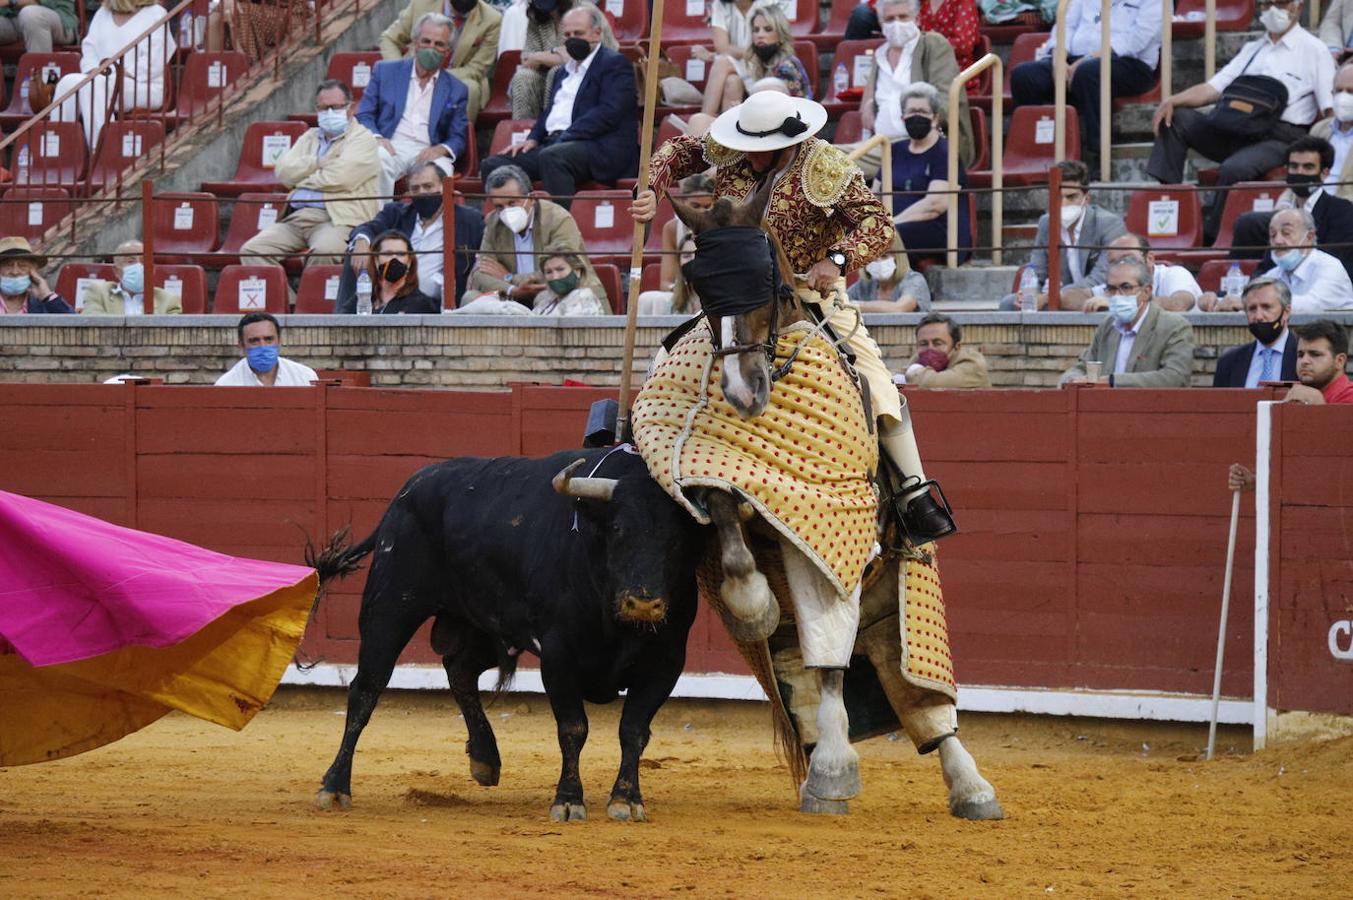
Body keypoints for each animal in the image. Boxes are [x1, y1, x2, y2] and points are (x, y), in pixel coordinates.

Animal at [308, 446, 708, 817]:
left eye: (678, 540)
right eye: (618, 530)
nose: (642, 604)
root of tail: (410, 488)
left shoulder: (666, 662)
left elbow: (634, 730)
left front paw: (626, 799)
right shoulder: (558, 655)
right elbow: (573, 727)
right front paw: (568, 800)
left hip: (481, 623)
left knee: (460, 669)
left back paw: (485, 759)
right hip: (389, 608)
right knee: (367, 689)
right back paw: (334, 787)